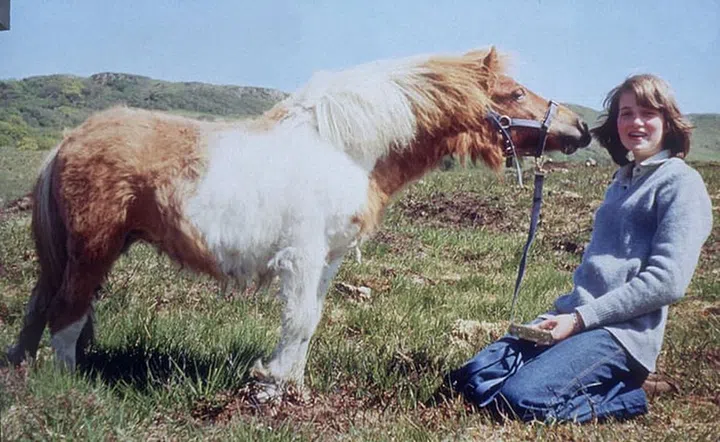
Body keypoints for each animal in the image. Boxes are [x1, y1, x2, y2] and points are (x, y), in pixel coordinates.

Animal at [4, 47, 591, 397]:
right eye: (514, 94)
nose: (581, 128)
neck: (342, 149)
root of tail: (68, 141)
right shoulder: (302, 256)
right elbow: (300, 321)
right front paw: (272, 388)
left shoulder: (327, 260)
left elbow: (309, 320)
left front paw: (291, 384)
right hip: (92, 251)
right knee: (66, 316)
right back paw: (68, 386)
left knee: (38, 311)